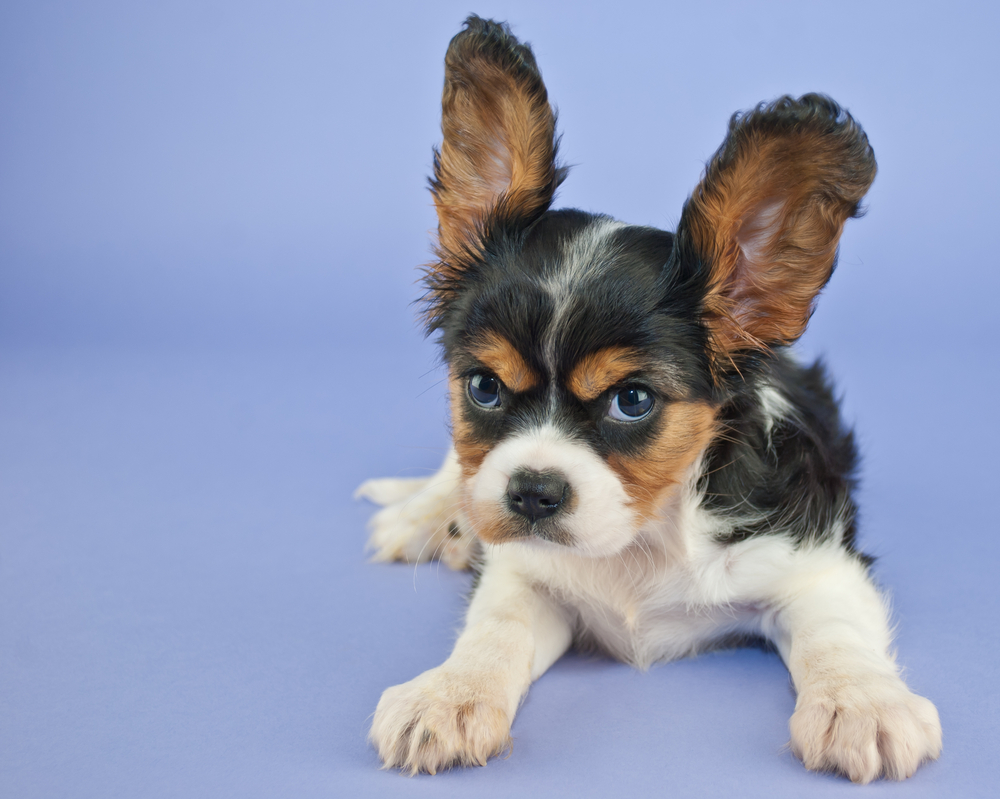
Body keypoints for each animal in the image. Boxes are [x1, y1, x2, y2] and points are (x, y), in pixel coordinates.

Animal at [358, 15, 936, 784]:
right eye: (483, 387)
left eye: (632, 401)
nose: (531, 492)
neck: (645, 535)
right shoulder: (522, 574)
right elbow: (494, 631)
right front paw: (449, 695)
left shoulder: (816, 566)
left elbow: (836, 635)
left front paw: (861, 703)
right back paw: (429, 519)